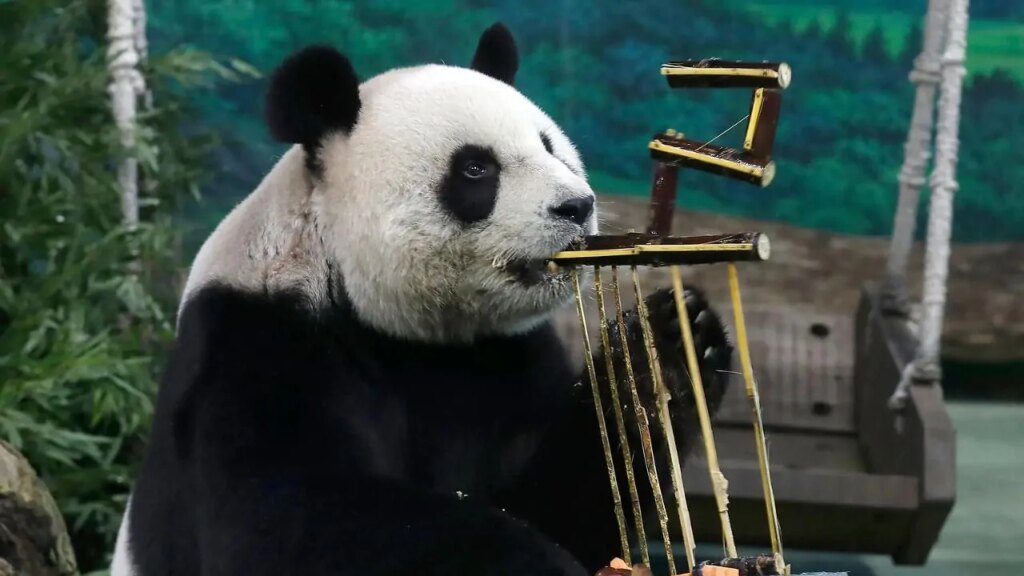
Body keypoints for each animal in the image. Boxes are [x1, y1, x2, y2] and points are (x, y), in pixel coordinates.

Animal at [111, 23, 731, 576]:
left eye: (549, 146)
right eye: (476, 168)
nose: (577, 207)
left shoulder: (510, 363)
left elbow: (564, 502)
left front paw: (667, 352)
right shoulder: (258, 342)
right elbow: (281, 517)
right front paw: (531, 561)